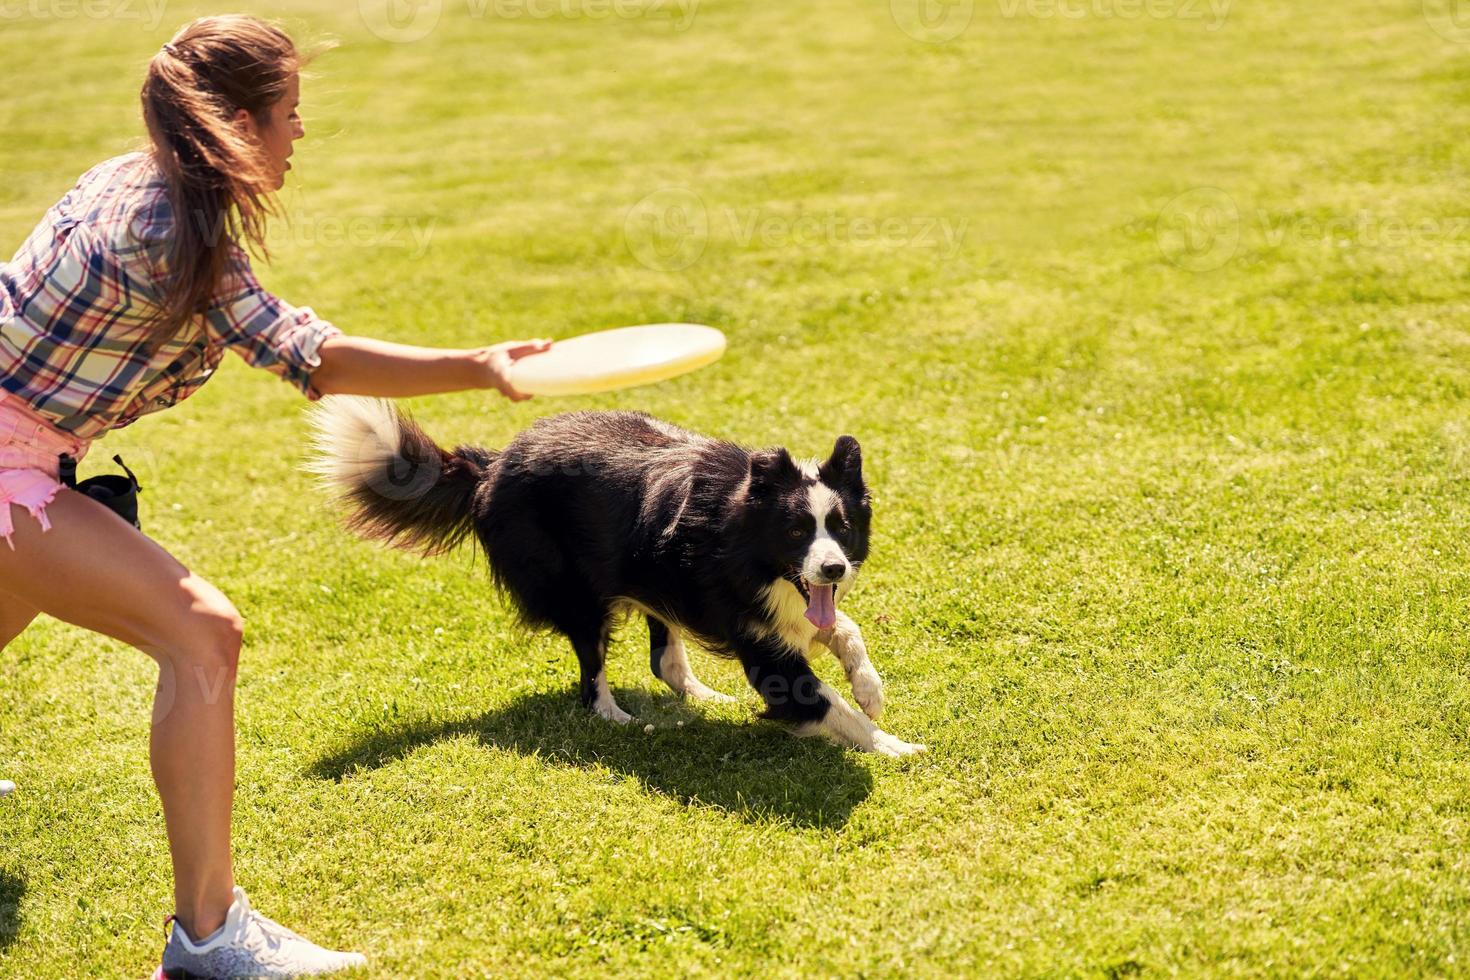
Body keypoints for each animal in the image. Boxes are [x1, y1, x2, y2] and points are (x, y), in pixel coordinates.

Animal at [310, 399, 923, 758]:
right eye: (796, 532)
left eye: (841, 529)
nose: (833, 568)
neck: (743, 531)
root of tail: (492, 463)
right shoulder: (763, 639)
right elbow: (819, 699)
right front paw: (894, 745)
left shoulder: (786, 606)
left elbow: (844, 628)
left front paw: (870, 689)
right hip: (576, 589)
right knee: (591, 670)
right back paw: (614, 716)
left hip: (654, 579)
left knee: (665, 661)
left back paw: (705, 697)